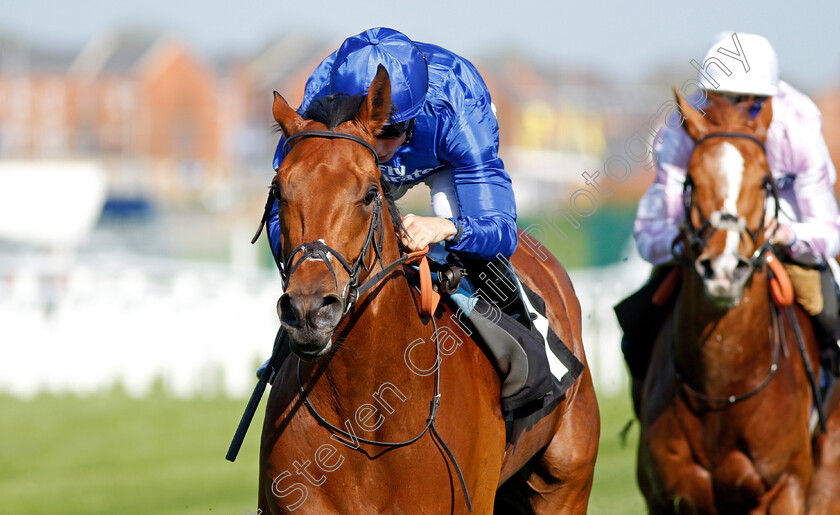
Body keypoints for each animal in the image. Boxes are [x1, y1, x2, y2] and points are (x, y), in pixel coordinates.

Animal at [632, 90, 824, 512]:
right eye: (691, 180)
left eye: (764, 182)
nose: (723, 269)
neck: (723, 387)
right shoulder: (667, 494)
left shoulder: (786, 486)